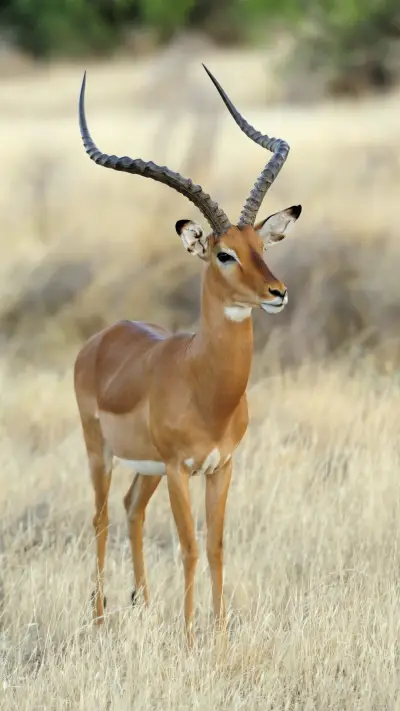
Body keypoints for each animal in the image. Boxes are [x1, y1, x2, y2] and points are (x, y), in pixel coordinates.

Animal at [74, 64, 302, 646]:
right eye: (223, 254)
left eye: (261, 248)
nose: (277, 293)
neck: (205, 386)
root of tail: (102, 338)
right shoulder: (181, 468)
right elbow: (190, 547)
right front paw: (191, 636)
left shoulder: (222, 467)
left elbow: (217, 546)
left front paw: (217, 634)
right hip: (100, 451)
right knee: (101, 518)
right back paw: (100, 619)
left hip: (147, 468)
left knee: (131, 510)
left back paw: (143, 604)